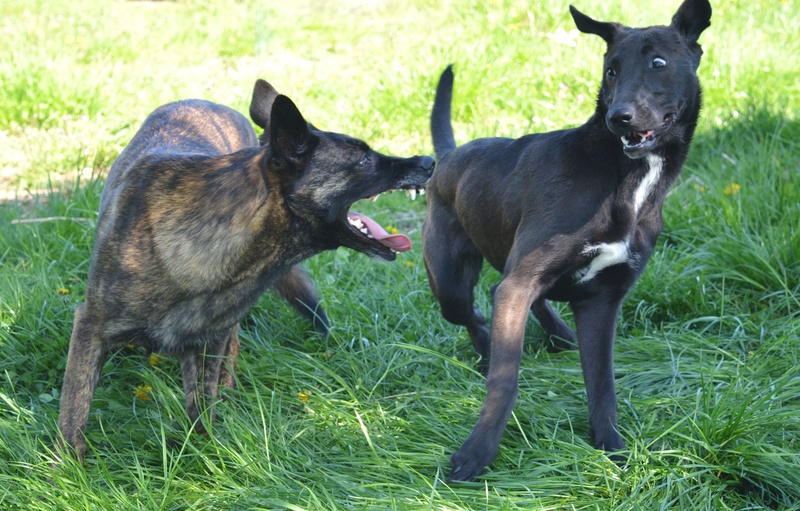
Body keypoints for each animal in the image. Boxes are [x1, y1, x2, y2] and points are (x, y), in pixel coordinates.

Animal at [57, 79, 434, 464]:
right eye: (363, 159)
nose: (429, 161)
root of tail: (208, 103)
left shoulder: (208, 343)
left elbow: (201, 409)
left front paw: (200, 451)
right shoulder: (89, 327)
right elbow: (74, 410)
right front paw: (69, 468)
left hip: (227, 328)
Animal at [424, 0, 712, 482]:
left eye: (658, 63)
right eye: (611, 70)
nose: (619, 117)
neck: (623, 176)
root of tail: (449, 156)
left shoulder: (603, 301)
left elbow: (602, 384)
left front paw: (612, 448)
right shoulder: (522, 281)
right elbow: (505, 377)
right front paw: (477, 453)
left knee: (506, 293)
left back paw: (558, 335)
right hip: (449, 285)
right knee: (475, 310)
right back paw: (487, 350)